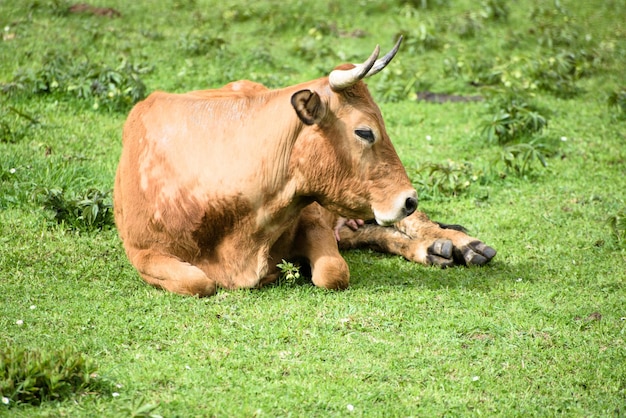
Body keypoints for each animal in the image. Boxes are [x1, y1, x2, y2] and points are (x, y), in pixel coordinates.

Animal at [112, 37, 492, 296]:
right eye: (365, 131)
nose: (409, 199)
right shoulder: (142, 251)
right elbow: (198, 281)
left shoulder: (313, 217)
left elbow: (333, 272)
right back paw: (433, 250)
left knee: (414, 224)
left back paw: (463, 245)